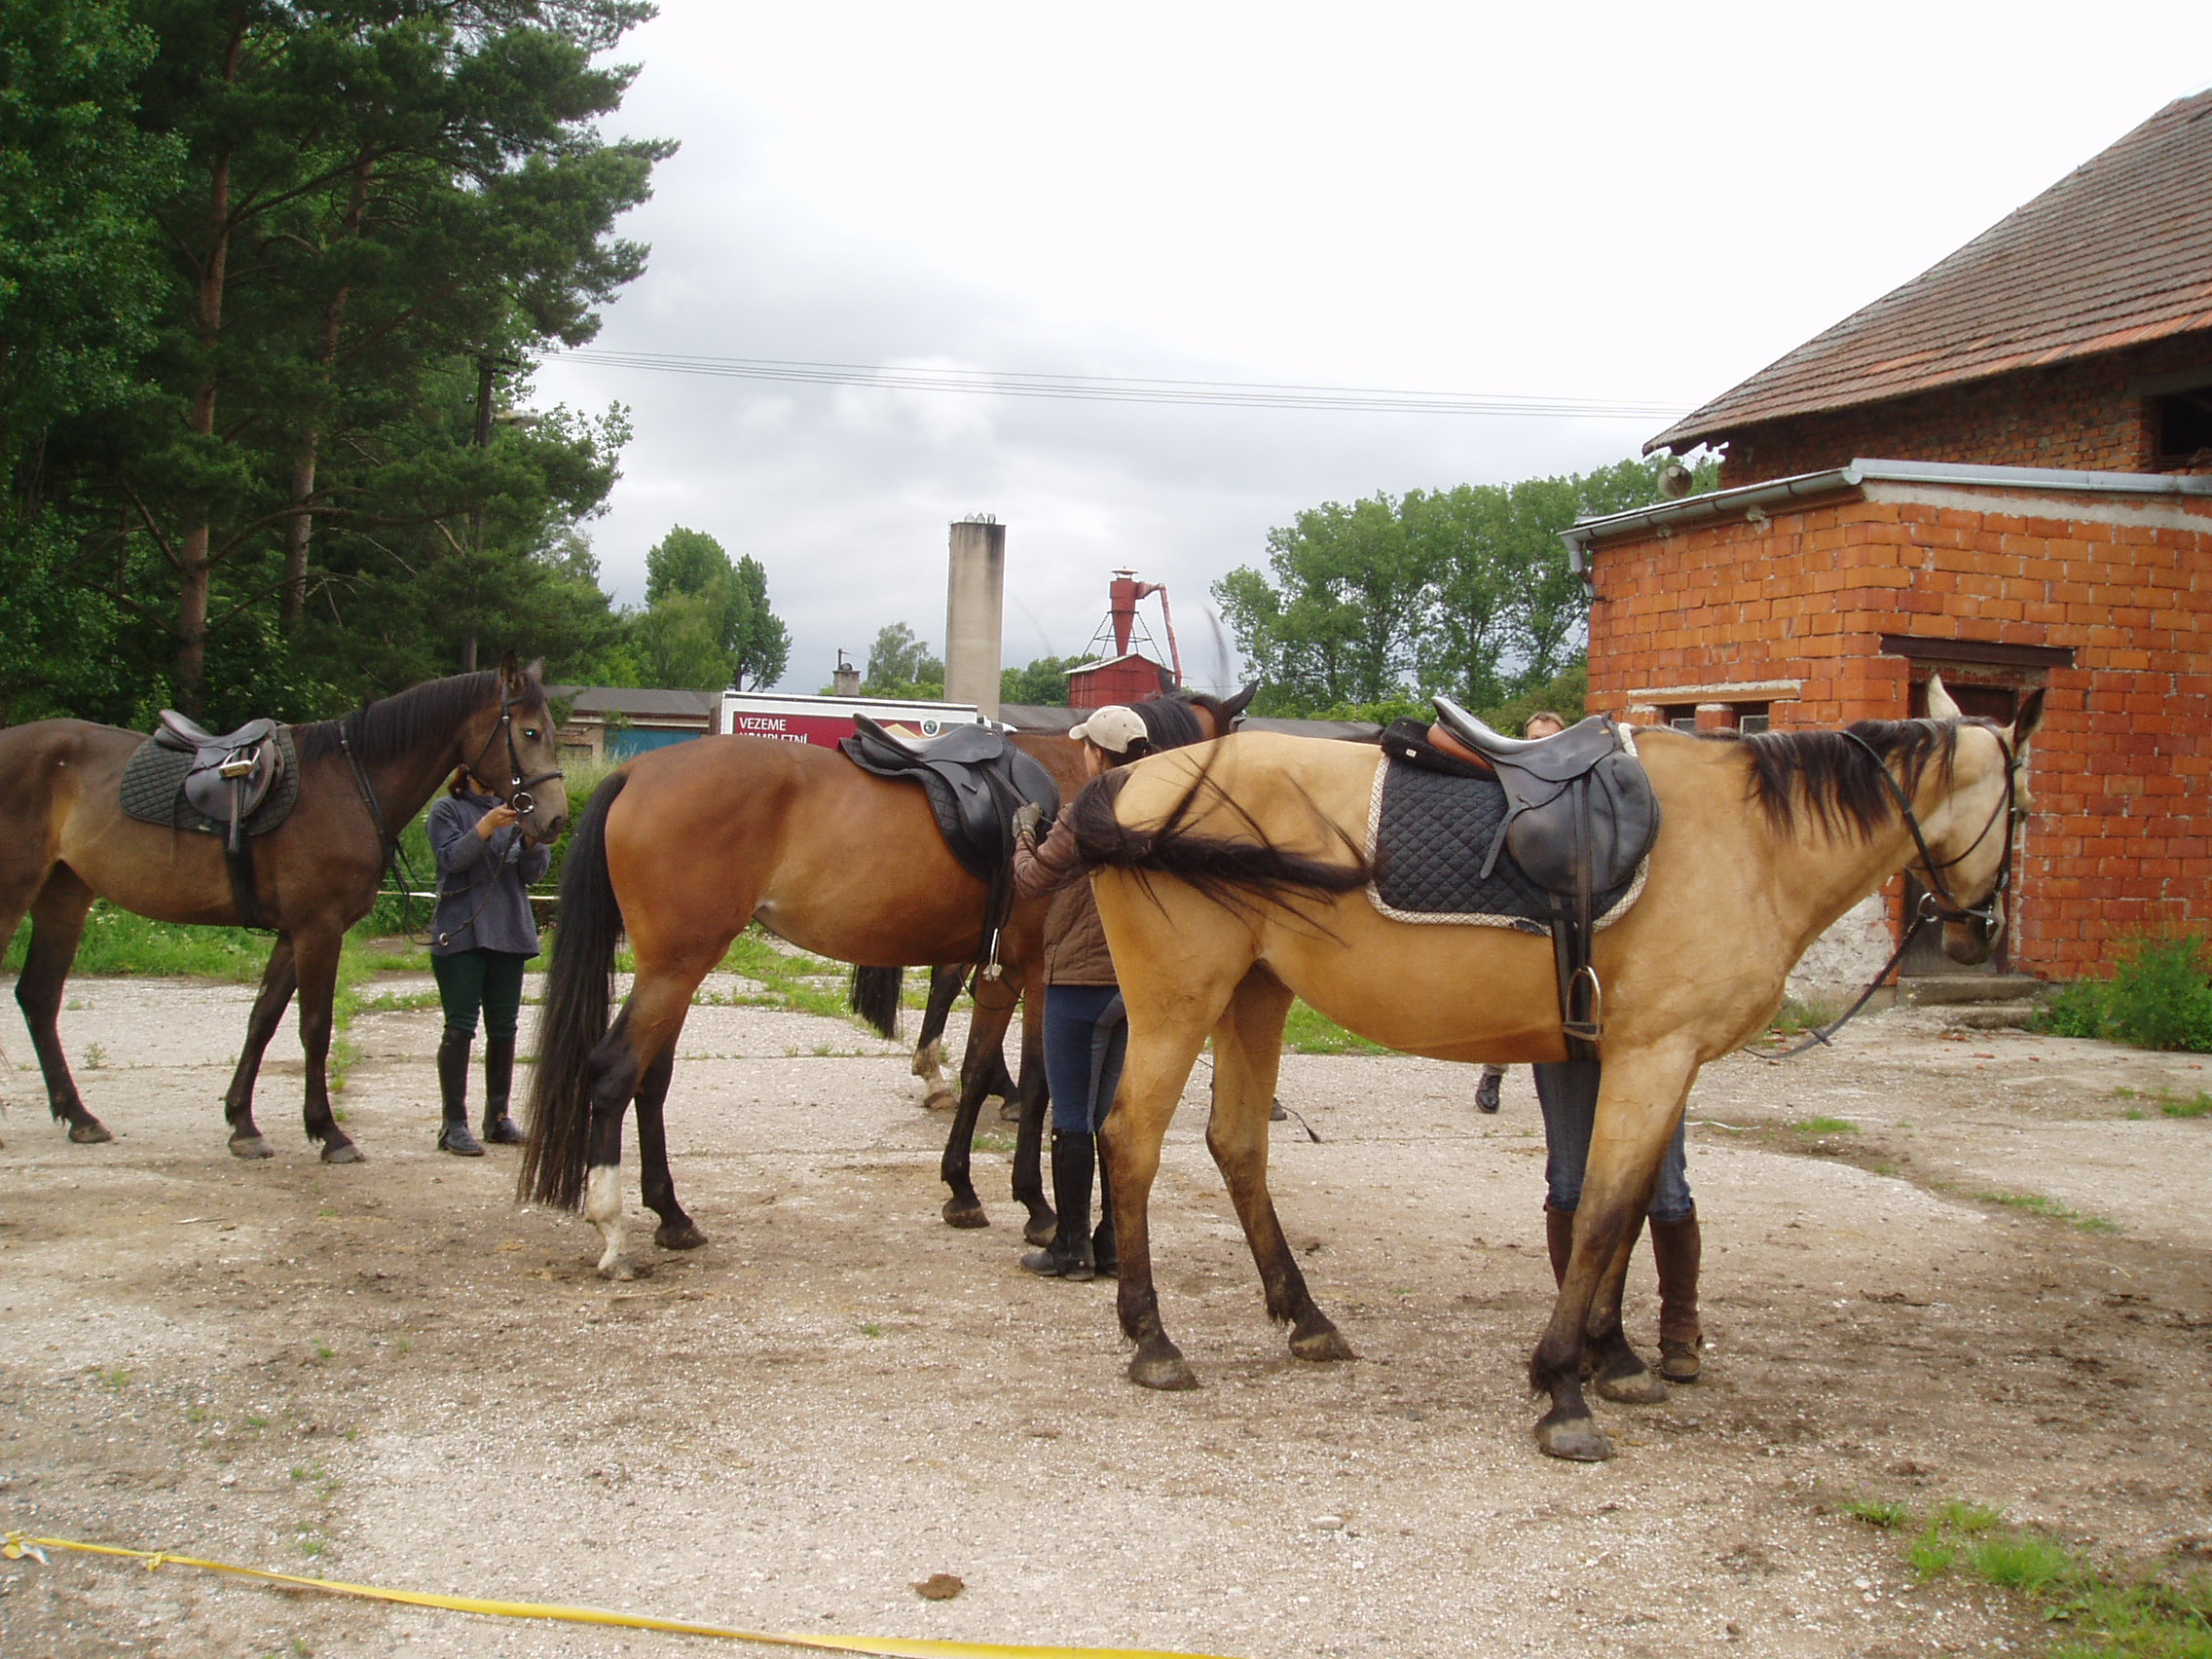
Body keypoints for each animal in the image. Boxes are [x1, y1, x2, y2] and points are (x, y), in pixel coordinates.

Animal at [0, 668, 571, 1167]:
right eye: (529, 731)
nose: (555, 818)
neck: (350, 783)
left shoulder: (291, 934)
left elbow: (263, 1019)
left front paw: (243, 1125)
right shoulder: (318, 928)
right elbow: (314, 1027)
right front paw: (328, 1132)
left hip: (64, 896)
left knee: (39, 996)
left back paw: (79, 1117)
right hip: (17, 893)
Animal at [1052, 681, 2035, 1459]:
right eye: (2024, 811)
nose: (1979, 933)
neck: (1749, 842)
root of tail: (1131, 780)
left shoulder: (1637, 1063)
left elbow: (1625, 1213)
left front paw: (1616, 1358)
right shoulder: (1657, 1056)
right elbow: (1601, 1213)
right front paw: (1564, 1387)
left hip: (1255, 995)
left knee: (1238, 1145)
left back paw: (1308, 1320)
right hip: (1178, 1003)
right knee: (1131, 1141)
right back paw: (1153, 1341)